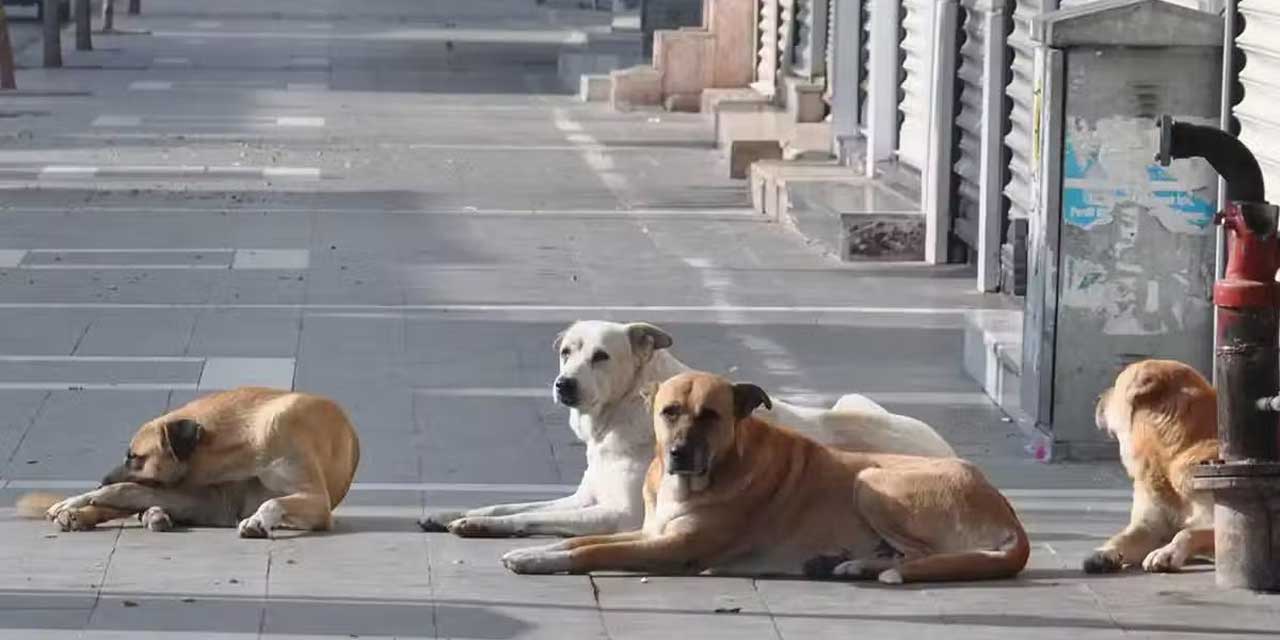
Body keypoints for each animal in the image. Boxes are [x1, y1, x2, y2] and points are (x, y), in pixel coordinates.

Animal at [17, 386, 360, 537]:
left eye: (135, 457)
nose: (101, 479)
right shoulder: (209, 497)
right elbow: (120, 491)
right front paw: (76, 500)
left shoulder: (317, 502)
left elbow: (273, 501)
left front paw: (258, 521)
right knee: (127, 500)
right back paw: (82, 514)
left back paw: (153, 515)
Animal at [414, 322, 957, 537]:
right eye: (566, 352)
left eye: (601, 356)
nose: (563, 384)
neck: (620, 415)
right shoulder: (584, 497)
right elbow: (511, 505)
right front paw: (456, 513)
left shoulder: (618, 515)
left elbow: (530, 519)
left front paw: (478, 526)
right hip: (852, 401)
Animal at [499, 371, 1029, 586]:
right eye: (669, 412)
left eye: (710, 415)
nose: (680, 454)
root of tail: (1008, 515)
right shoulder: (650, 532)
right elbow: (576, 542)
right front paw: (535, 551)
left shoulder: (672, 548)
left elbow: (592, 551)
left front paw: (536, 560)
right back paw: (850, 564)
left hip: (871, 482)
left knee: (924, 557)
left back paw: (864, 566)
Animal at [1085, 360, 1213, 576]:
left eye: (1116, 385)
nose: (1097, 398)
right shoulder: (1148, 527)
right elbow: (1122, 536)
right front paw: (1105, 551)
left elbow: (1187, 532)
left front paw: (1167, 552)